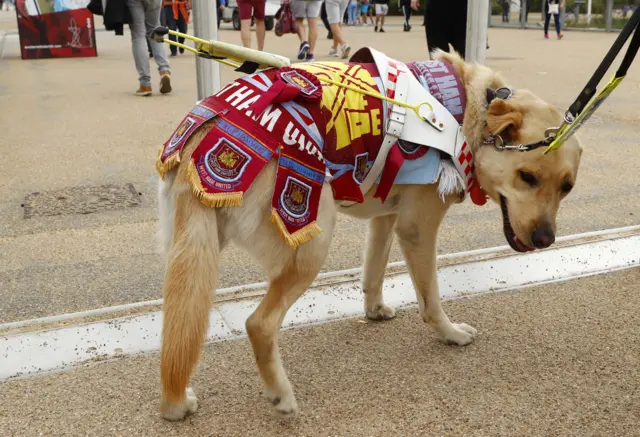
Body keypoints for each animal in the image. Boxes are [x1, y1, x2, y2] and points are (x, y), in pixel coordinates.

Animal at [155, 48, 580, 418]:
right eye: (527, 176)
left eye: (567, 187)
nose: (545, 240)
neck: (467, 109)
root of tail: (205, 139)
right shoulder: (418, 229)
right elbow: (430, 299)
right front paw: (450, 334)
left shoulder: (386, 218)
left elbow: (374, 271)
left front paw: (374, 311)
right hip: (311, 241)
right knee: (259, 324)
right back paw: (281, 395)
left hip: (193, 252)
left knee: (179, 327)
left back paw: (176, 403)